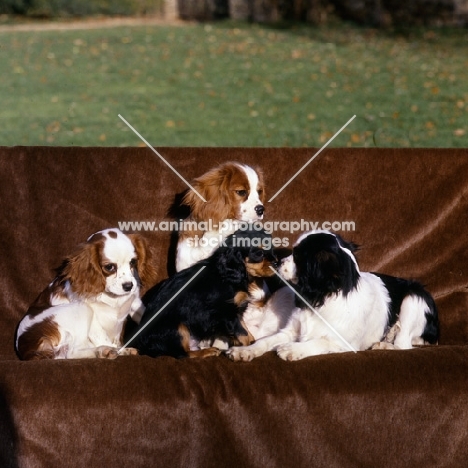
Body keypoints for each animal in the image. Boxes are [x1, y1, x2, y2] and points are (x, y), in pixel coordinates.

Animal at [15, 229, 157, 360]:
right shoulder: (93, 315)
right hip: (82, 309)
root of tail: (27, 350)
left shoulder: (135, 303)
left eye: (133, 262)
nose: (128, 286)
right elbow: (103, 337)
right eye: (109, 267)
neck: (112, 295)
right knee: (71, 352)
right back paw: (108, 350)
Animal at [125, 229, 278, 358]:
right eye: (259, 253)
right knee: (182, 354)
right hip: (177, 327)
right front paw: (248, 348)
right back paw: (207, 351)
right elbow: (243, 333)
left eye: (272, 249)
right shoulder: (226, 313)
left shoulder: (235, 312)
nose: (277, 263)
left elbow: (244, 330)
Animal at [227, 230, 438, 362]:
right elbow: (264, 341)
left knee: (404, 345)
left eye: (298, 256)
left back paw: (384, 346)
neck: (321, 299)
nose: (277, 262)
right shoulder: (288, 331)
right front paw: (244, 351)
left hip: (414, 298)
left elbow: (321, 340)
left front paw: (292, 349)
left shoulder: (344, 343)